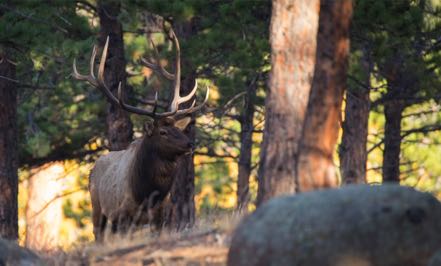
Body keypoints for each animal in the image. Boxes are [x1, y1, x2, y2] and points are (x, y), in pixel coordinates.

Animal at [72, 28, 208, 240]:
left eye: (179, 128)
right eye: (163, 131)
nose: (190, 144)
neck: (147, 193)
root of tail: (92, 169)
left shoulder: (160, 215)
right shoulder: (124, 214)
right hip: (97, 207)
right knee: (98, 234)